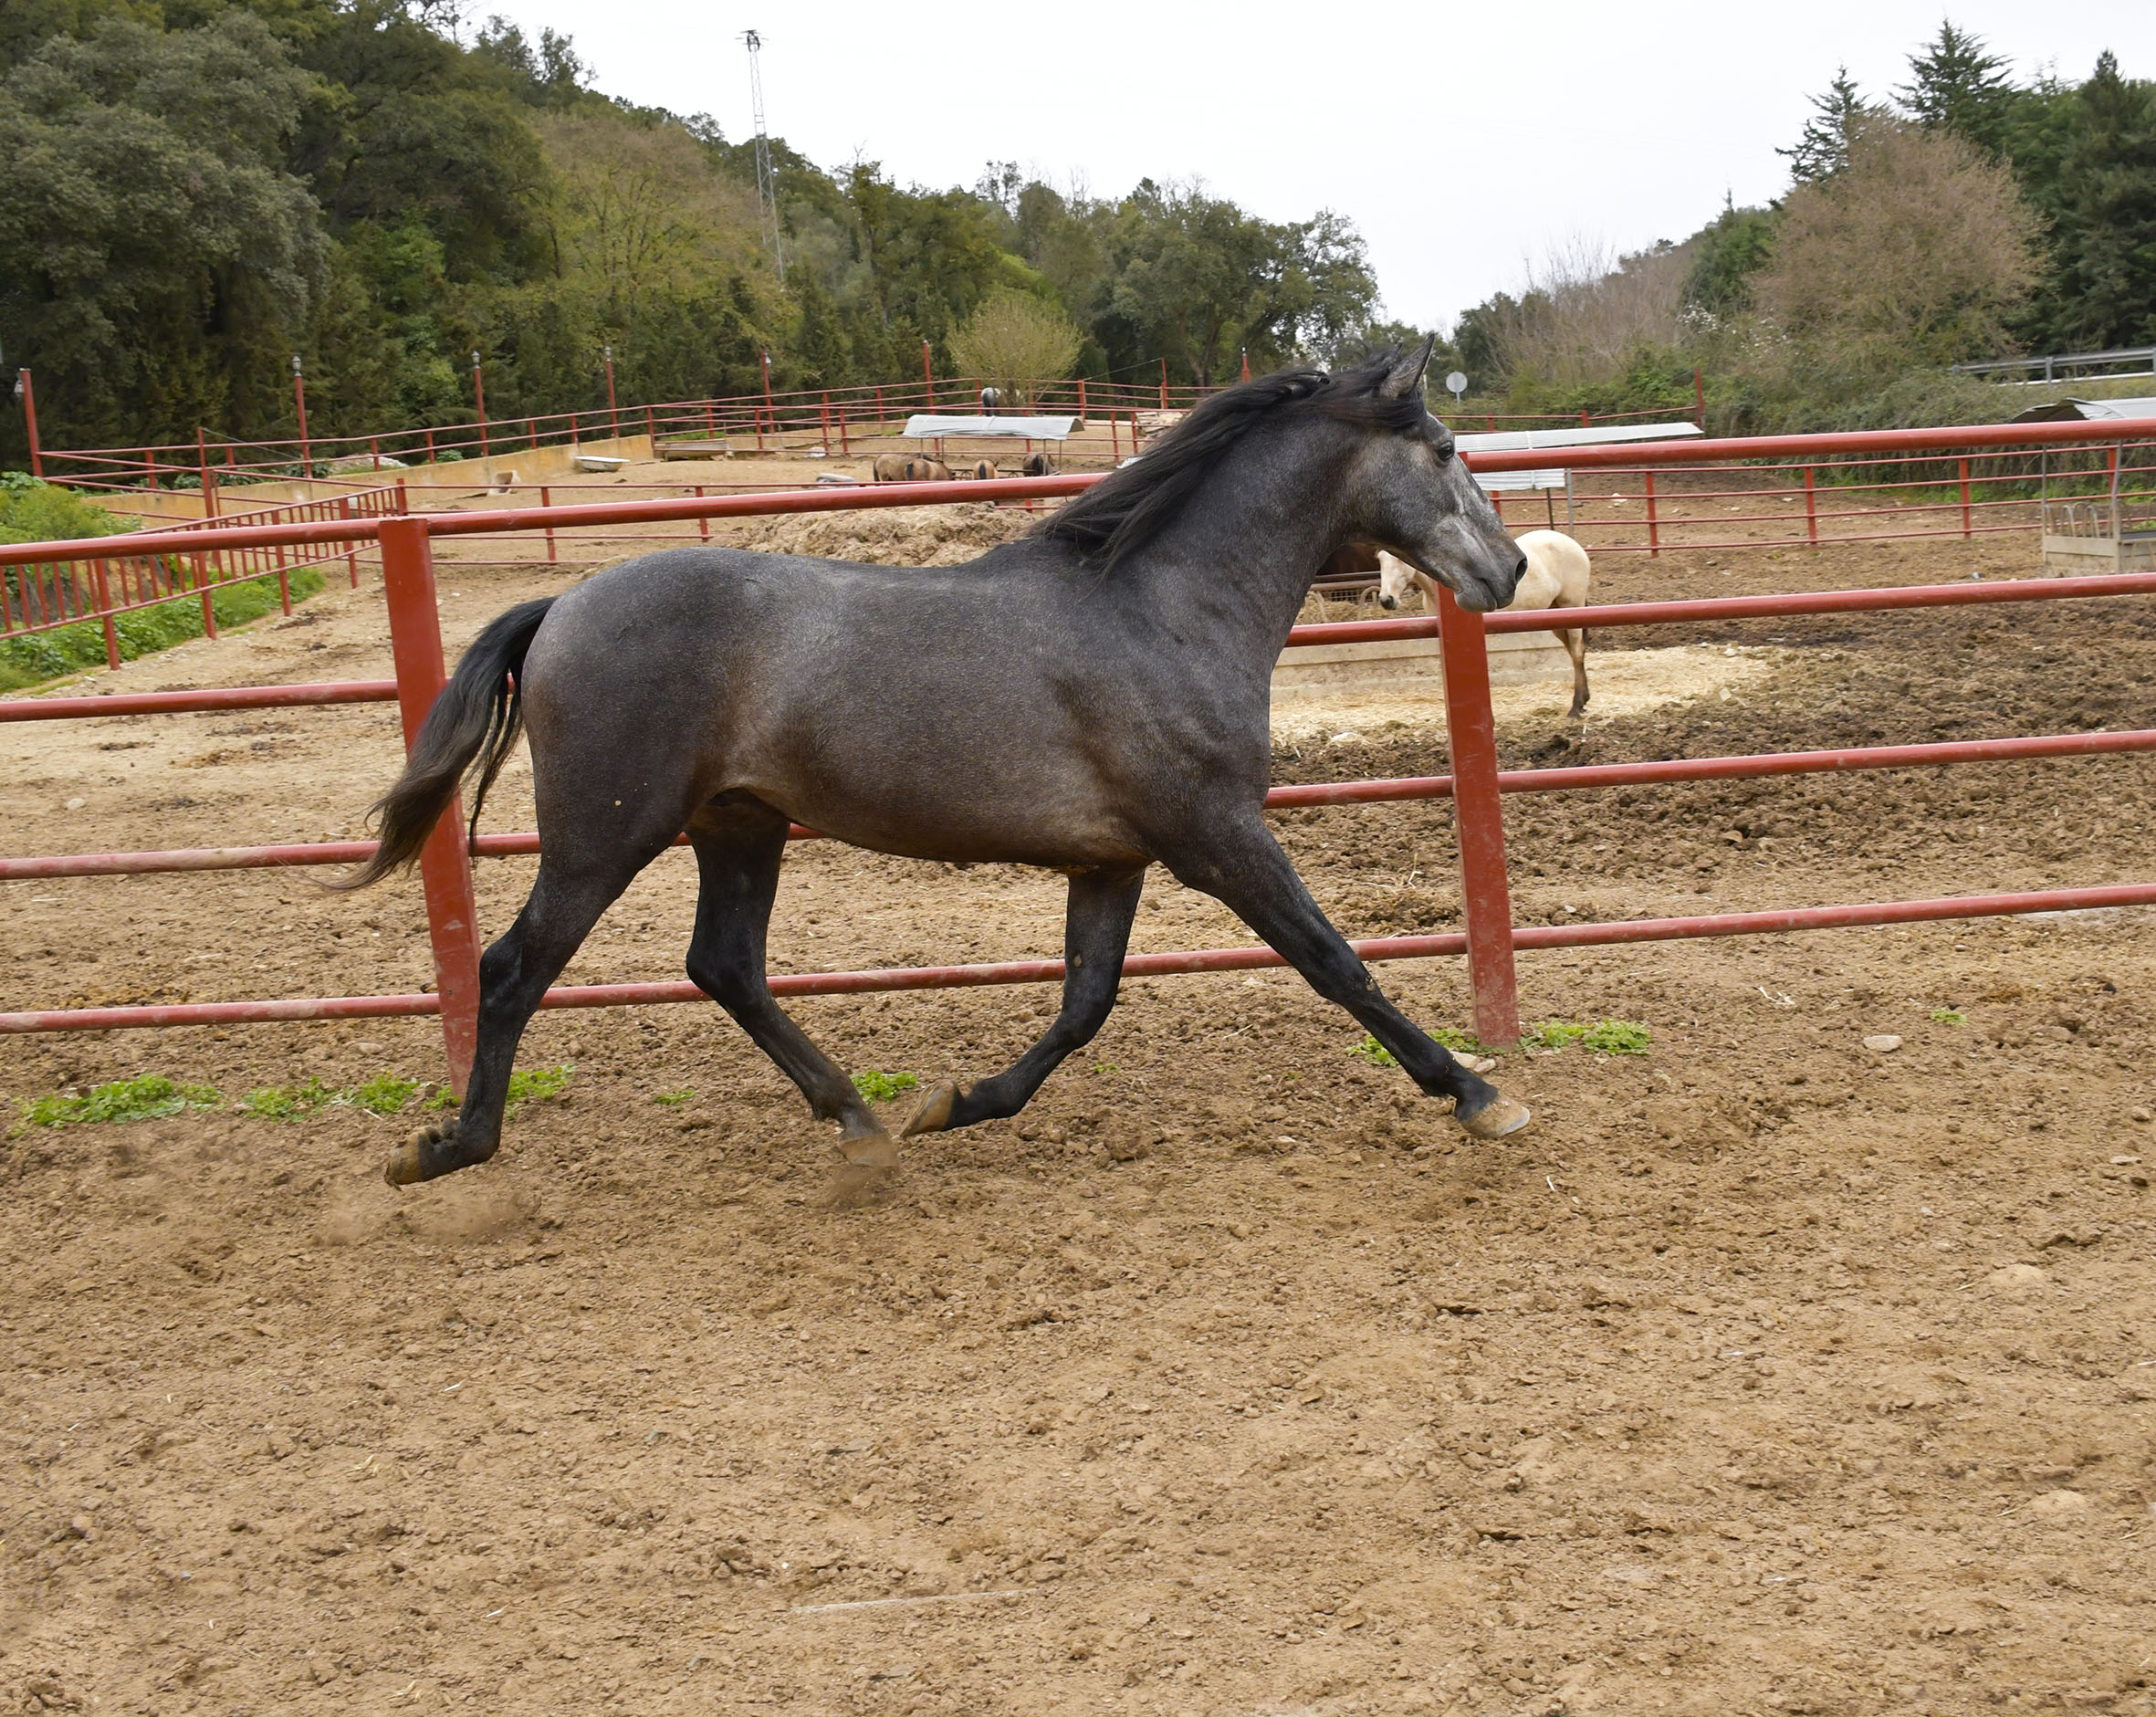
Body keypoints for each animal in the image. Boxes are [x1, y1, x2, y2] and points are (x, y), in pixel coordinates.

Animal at [340, 342, 1534, 1190]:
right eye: (1443, 449)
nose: (1511, 567)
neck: (1162, 613)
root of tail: (560, 607)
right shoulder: (1217, 836)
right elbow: (1337, 963)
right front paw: (1480, 1095)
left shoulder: (1113, 860)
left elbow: (1084, 1004)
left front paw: (952, 1103)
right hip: (606, 833)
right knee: (512, 968)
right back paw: (446, 1149)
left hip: (739, 823)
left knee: (724, 965)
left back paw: (863, 1123)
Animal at [1388, 524, 1595, 711]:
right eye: (1382, 560)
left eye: (1400, 561)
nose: (1386, 600)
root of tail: (1573, 544)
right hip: (1556, 614)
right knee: (1572, 651)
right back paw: (1583, 700)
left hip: (1571, 606)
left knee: (1577, 651)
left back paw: (1576, 707)